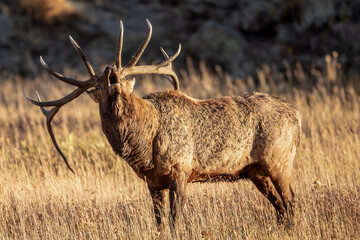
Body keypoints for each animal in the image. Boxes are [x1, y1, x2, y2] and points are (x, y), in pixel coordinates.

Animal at [24, 19, 300, 226]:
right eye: (99, 87)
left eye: (122, 78)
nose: (110, 70)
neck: (144, 147)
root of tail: (296, 116)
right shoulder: (153, 181)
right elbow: (159, 222)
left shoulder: (181, 169)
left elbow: (175, 220)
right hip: (256, 171)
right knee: (281, 207)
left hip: (279, 160)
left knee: (291, 201)